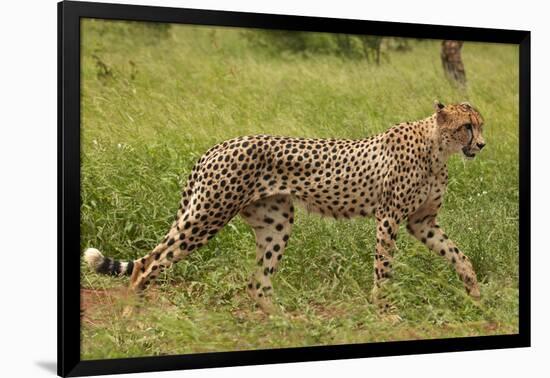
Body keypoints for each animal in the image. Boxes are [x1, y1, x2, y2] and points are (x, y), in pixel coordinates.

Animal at [85, 99, 488, 314]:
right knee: (147, 264)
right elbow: (384, 268)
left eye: (481, 125)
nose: (482, 146)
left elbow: (459, 256)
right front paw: (385, 311)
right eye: (467, 126)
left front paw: (476, 295)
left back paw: (287, 321)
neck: (437, 148)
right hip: (208, 215)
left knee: (257, 282)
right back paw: (132, 316)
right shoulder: (388, 218)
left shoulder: (422, 222)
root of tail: (218, 145)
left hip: (275, 222)